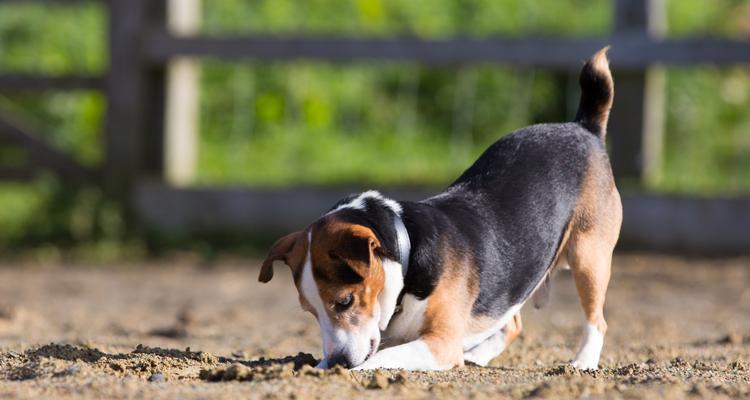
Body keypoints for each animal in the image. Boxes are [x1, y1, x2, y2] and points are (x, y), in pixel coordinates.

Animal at [258, 47, 624, 372]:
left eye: (344, 301)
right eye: (310, 311)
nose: (338, 361)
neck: (408, 256)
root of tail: (583, 127)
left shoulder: (440, 343)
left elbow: (380, 358)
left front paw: (352, 370)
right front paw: (317, 366)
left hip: (589, 257)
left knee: (598, 321)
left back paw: (583, 361)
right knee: (512, 322)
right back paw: (479, 354)